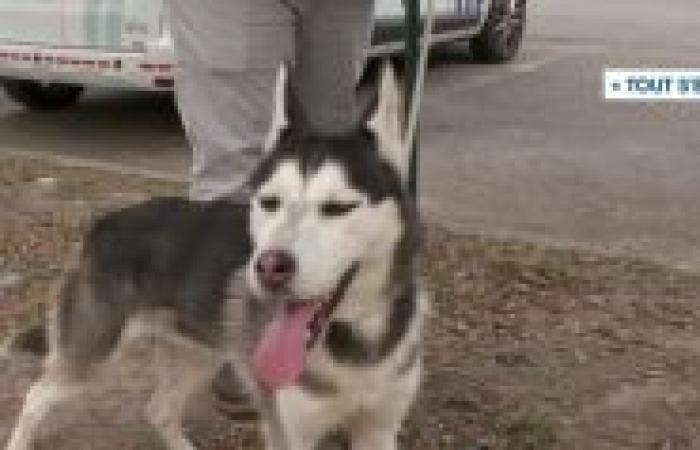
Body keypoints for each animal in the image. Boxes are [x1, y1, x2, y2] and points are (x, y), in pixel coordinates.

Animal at [4, 60, 422, 450]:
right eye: (269, 201)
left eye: (338, 207)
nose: (269, 267)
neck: (358, 339)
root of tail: (103, 222)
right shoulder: (289, 432)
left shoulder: (379, 429)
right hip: (93, 354)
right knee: (35, 397)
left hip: (197, 355)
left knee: (158, 409)